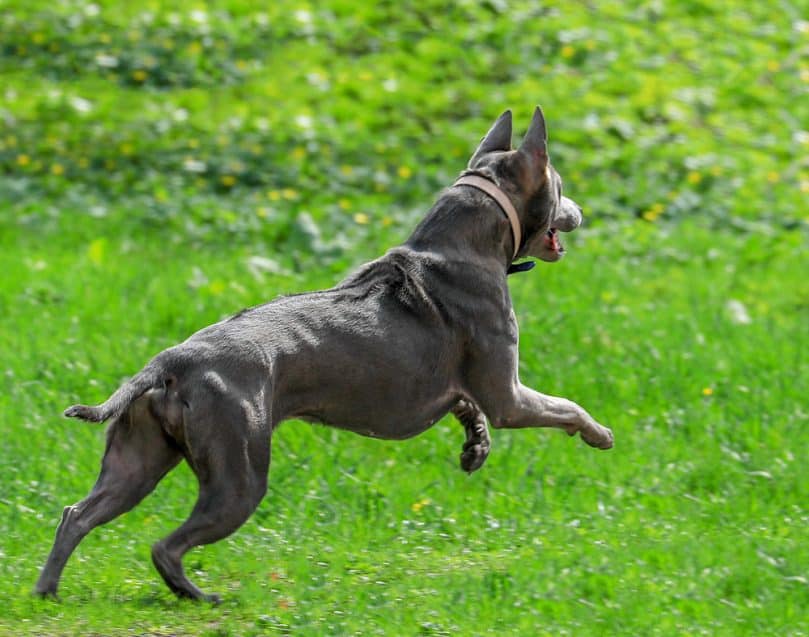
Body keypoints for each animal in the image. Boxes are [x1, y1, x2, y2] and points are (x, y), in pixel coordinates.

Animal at [31, 108, 612, 600]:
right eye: (561, 186)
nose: (581, 210)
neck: (461, 241)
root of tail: (171, 362)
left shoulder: (469, 391)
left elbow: (468, 407)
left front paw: (475, 448)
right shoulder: (509, 397)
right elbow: (565, 406)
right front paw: (599, 434)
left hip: (137, 461)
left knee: (76, 515)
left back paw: (47, 592)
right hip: (238, 476)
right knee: (165, 545)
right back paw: (195, 595)